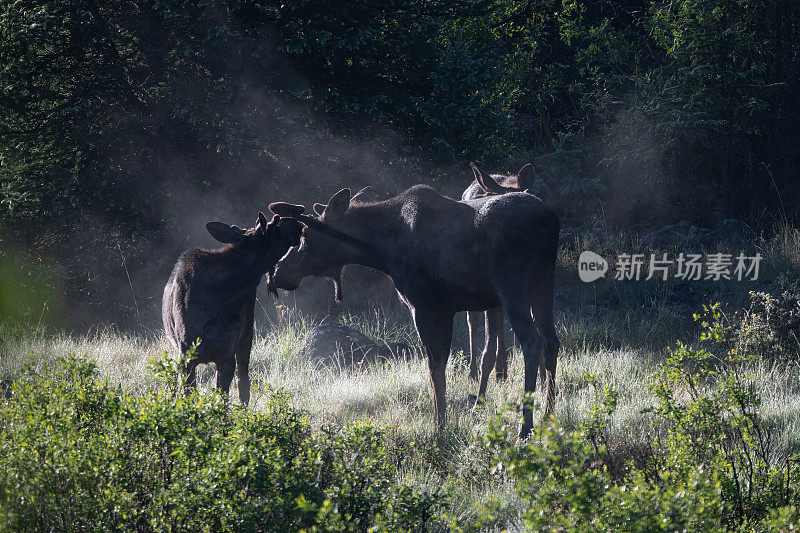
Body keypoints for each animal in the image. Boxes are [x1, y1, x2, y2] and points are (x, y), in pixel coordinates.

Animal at [162, 212, 304, 404]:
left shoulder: (226, 353)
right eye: (275, 225)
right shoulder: (186, 353)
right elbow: (189, 395)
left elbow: (222, 397)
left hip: (247, 334)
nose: (298, 223)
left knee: (243, 381)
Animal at [268, 169, 556, 436]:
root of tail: (549, 222)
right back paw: (549, 414)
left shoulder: (426, 306)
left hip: (512, 287)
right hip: (542, 285)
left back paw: (525, 427)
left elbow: (435, 368)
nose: (278, 270)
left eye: (305, 235)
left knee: (532, 341)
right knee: (551, 341)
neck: (383, 252)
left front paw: (439, 426)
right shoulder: (444, 309)